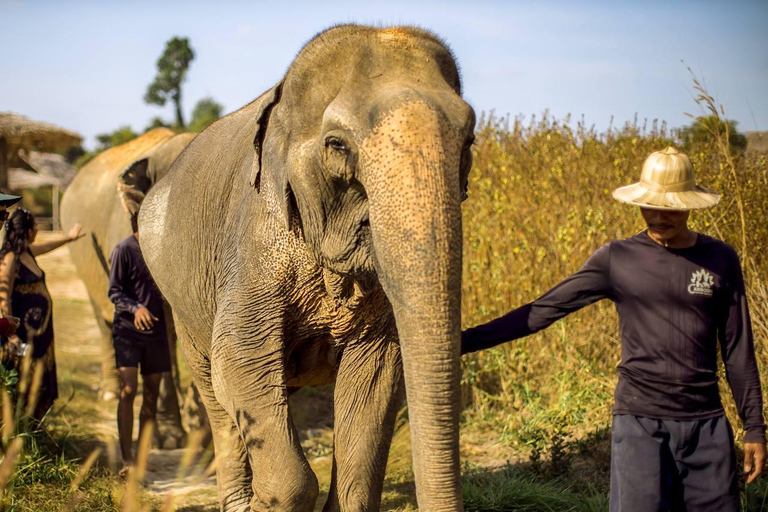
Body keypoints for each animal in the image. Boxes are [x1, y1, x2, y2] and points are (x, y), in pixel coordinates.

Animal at [139, 25, 475, 511]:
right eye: (336, 145)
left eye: (469, 142)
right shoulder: (252, 242)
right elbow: (238, 360)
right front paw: (268, 502)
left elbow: (375, 377)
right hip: (183, 301)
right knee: (215, 395)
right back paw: (239, 500)